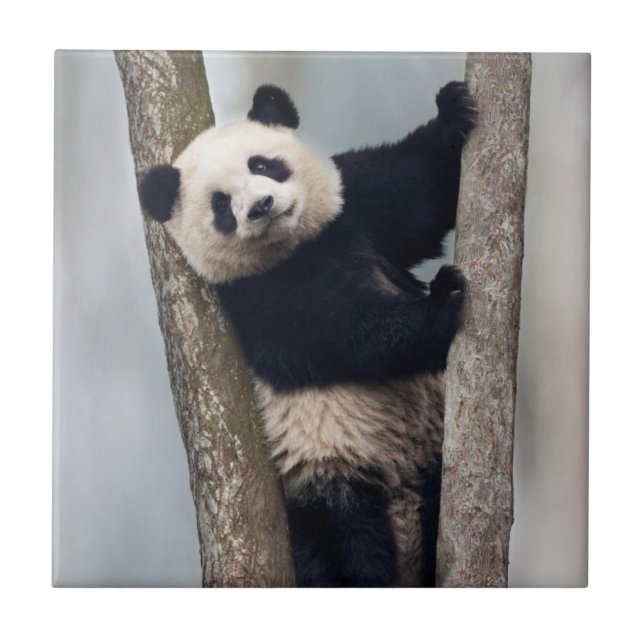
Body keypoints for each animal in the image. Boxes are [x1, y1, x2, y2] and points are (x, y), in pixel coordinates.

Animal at [138, 82, 477, 587]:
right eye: (220, 204)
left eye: (262, 165)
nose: (260, 207)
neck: (297, 247)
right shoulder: (258, 298)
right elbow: (342, 334)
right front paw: (442, 303)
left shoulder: (353, 207)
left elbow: (418, 192)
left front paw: (454, 112)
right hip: (329, 473)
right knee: (345, 546)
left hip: (430, 448)